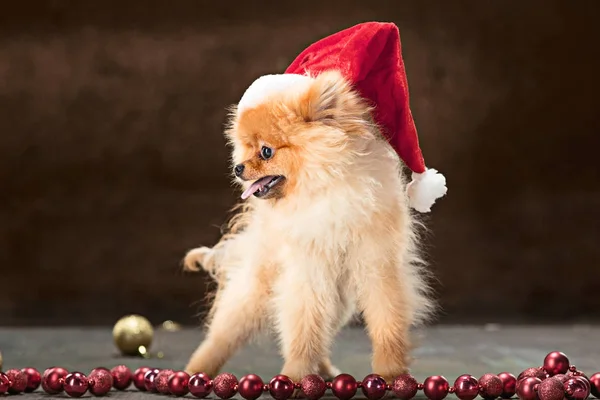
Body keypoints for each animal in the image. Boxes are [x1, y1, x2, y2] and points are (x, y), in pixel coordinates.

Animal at [182, 70, 436, 382]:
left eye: (266, 151)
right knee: (221, 335)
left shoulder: (378, 264)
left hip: (339, 302)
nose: (238, 168)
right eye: (245, 148)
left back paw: (324, 371)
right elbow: (303, 331)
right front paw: (294, 376)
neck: (329, 187)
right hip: (255, 293)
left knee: (323, 337)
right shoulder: (307, 273)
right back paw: (194, 371)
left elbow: (386, 322)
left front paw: (391, 373)